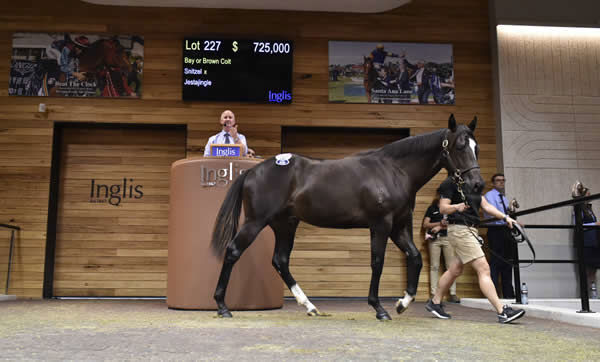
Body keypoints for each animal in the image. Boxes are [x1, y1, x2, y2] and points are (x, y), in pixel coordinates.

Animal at [210, 114, 482, 320]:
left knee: (280, 261)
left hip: (285, 225)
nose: (477, 184)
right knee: (234, 251)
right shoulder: (381, 225)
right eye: (459, 146)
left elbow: (414, 258)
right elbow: (377, 262)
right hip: (256, 222)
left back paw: (310, 306)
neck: (394, 171)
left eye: (476, 147)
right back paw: (222, 307)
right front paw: (379, 308)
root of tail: (253, 171)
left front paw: (402, 304)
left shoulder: (399, 227)